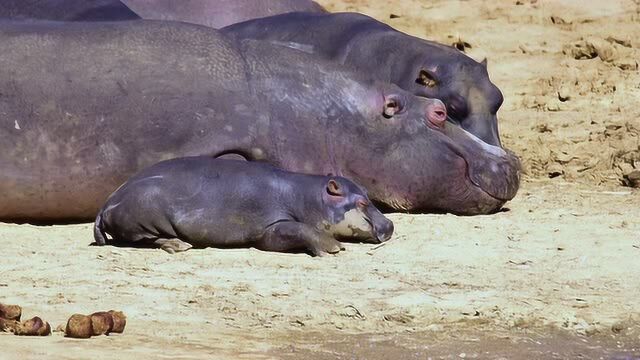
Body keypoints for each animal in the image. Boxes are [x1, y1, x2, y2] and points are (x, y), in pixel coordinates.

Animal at [92, 156, 392, 255]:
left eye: (368, 195)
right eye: (361, 201)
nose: (390, 224)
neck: (307, 196)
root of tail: (106, 203)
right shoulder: (271, 227)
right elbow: (299, 229)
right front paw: (333, 247)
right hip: (146, 213)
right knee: (144, 239)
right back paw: (179, 245)